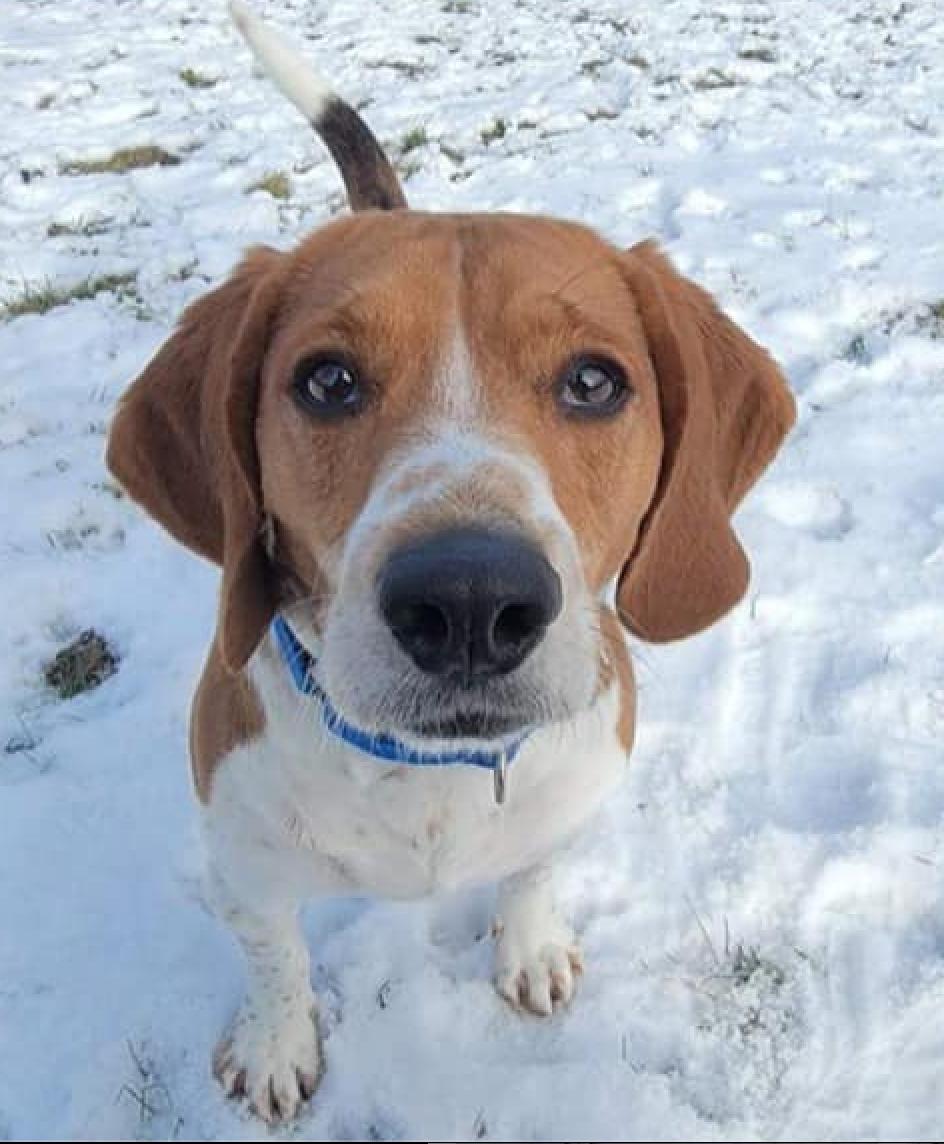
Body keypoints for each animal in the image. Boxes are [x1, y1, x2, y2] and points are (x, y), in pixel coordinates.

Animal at [104, 2, 796, 1125]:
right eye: (328, 381)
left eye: (594, 381)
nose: (471, 599)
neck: (423, 776)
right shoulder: (243, 864)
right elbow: (275, 958)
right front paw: (276, 1042)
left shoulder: (567, 806)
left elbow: (532, 875)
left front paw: (530, 946)